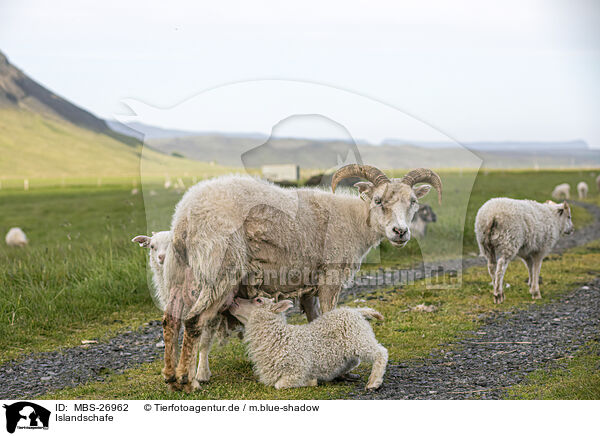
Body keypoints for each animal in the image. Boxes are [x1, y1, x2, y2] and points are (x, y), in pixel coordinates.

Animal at [230, 298, 390, 390]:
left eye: (258, 300)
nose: (234, 299)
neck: (280, 338)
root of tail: (356, 311)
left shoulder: (297, 369)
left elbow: (279, 385)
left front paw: (310, 382)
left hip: (359, 337)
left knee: (380, 353)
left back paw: (373, 383)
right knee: (355, 361)